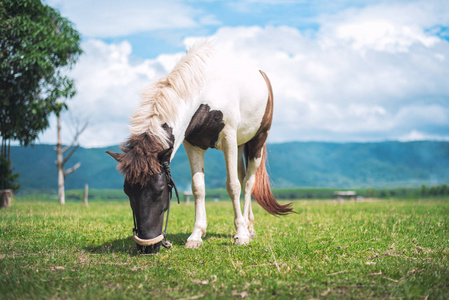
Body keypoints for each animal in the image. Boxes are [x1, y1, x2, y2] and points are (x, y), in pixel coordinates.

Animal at [106, 41, 294, 253]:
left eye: (159, 191)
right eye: (127, 191)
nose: (147, 247)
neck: (205, 92)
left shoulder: (228, 138)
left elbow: (233, 186)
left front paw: (241, 234)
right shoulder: (193, 145)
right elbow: (198, 188)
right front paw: (196, 235)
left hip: (257, 142)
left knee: (248, 182)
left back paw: (246, 227)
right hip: (240, 145)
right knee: (242, 175)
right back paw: (250, 225)